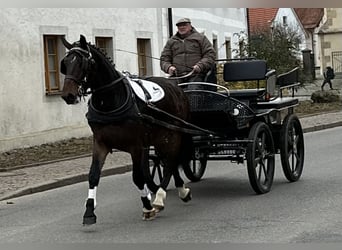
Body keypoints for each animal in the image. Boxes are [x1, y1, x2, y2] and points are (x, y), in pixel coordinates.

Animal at [59, 34, 191, 224]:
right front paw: (89, 211)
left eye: (82, 63)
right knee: (167, 161)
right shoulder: (100, 142)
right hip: (159, 137)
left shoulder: (135, 146)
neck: (110, 100)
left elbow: (137, 177)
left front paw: (147, 206)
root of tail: (176, 86)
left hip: (173, 133)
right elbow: (93, 175)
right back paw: (180, 189)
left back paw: (159, 197)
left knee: (171, 161)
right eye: (65, 64)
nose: (68, 95)